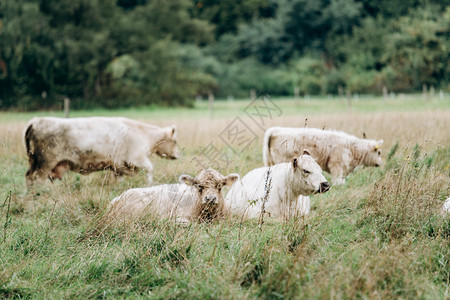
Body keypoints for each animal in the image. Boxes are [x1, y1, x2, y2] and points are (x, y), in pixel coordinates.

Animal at [23, 116, 179, 186]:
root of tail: (37, 120)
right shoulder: (136, 158)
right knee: (38, 179)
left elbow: (119, 178)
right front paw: (149, 184)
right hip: (45, 162)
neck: (143, 133)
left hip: (34, 162)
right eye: (175, 141)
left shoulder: (119, 166)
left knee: (29, 177)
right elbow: (150, 168)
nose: (178, 155)